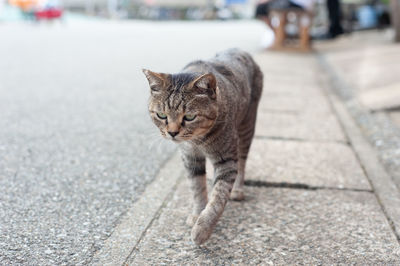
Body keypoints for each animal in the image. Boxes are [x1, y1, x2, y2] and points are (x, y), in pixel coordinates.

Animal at [143, 48, 262, 245]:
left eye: (189, 117)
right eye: (161, 115)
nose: (172, 132)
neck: (198, 141)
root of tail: (239, 49)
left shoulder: (226, 160)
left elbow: (218, 197)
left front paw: (203, 228)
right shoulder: (190, 158)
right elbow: (197, 188)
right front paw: (197, 213)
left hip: (246, 128)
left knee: (242, 162)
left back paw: (238, 189)